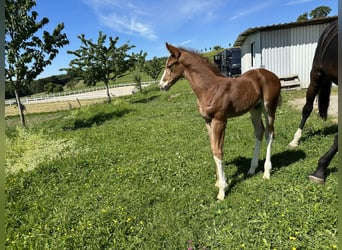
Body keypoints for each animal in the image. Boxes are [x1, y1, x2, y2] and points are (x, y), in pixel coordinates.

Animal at [159, 42, 282, 199]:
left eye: (169, 66)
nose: (162, 86)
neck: (209, 88)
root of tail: (274, 76)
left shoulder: (220, 120)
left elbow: (218, 151)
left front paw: (222, 191)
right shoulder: (208, 122)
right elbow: (213, 149)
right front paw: (218, 183)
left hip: (269, 107)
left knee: (270, 133)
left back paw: (266, 173)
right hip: (255, 109)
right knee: (259, 132)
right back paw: (252, 169)